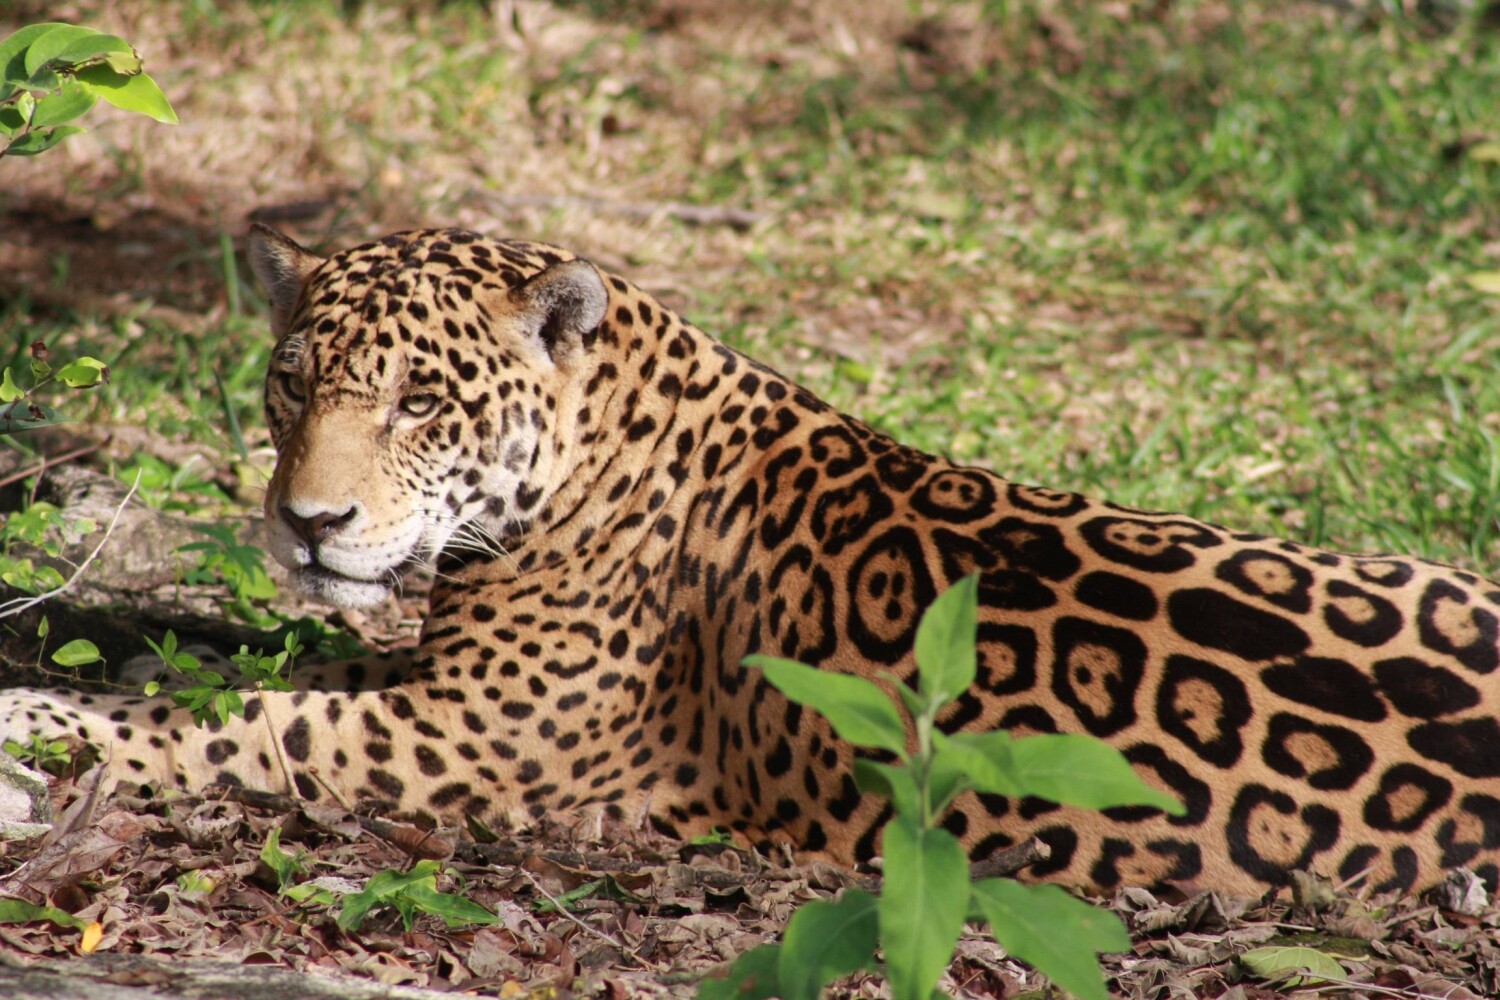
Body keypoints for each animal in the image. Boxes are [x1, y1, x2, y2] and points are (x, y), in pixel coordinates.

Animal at [3, 225, 1498, 898]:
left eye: (422, 402)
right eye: (292, 383)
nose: (308, 522)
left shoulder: (462, 740)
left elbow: (237, 722)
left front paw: (38, 711)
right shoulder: (432, 678)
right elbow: (243, 661)